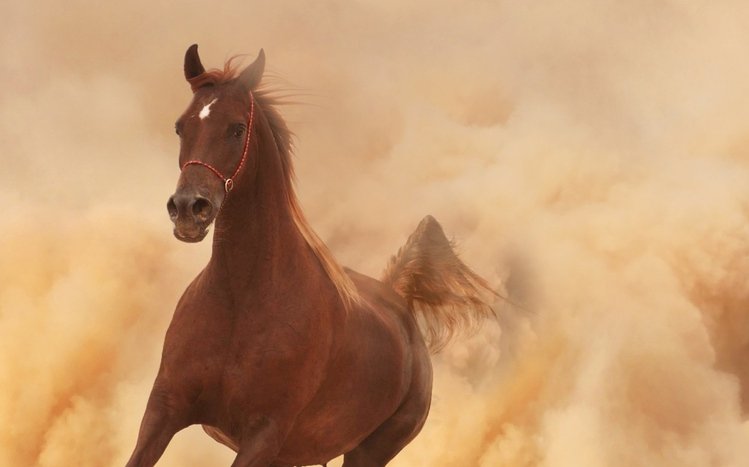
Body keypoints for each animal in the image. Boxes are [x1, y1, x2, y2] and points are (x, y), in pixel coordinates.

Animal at [126, 44, 495, 467]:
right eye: (180, 126)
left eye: (236, 128)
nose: (189, 209)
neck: (241, 302)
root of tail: (400, 304)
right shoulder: (164, 409)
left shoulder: (264, 434)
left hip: (367, 453)